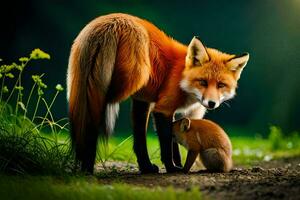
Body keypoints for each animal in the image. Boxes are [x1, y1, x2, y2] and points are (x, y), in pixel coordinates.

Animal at [67, 13, 248, 173]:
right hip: (127, 83)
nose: (211, 103)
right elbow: (167, 144)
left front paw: (175, 165)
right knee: (98, 115)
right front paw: (172, 168)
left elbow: (171, 140)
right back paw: (88, 169)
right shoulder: (163, 108)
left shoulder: (155, 106)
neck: (181, 75)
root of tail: (110, 22)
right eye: (203, 82)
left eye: (221, 85)